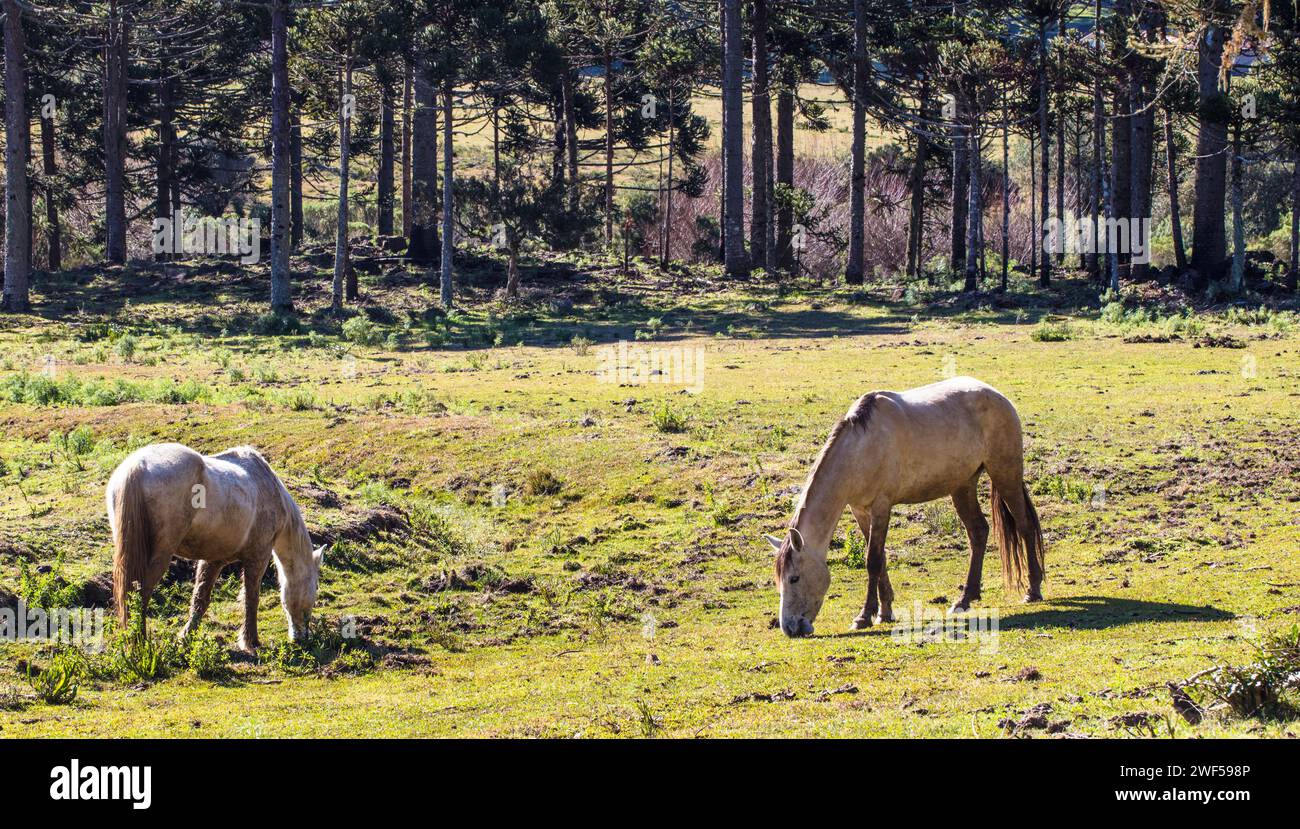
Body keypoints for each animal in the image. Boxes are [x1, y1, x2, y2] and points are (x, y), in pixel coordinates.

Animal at [105, 442, 324, 650]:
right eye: (314, 588)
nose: (302, 637)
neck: (268, 488)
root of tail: (137, 466)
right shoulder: (258, 556)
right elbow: (251, 598)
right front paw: (251, 641)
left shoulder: (213, 560)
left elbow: (200, 599)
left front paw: (186, 637)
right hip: (160, 556)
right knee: (141, 594)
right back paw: (139, 641)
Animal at [765, 376, 1044, 638]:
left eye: (794, 578)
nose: (790, 628)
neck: (860, 449)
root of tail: (997, 396)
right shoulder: (860, 510)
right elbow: (880, 559)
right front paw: (885, 612)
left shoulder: (881, 506)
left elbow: (873, 560)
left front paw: (864, 616)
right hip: (963, 485)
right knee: (978, 532)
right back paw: (965, 600)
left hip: (1004, 473)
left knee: (1024, 526)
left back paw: (1033, 590)